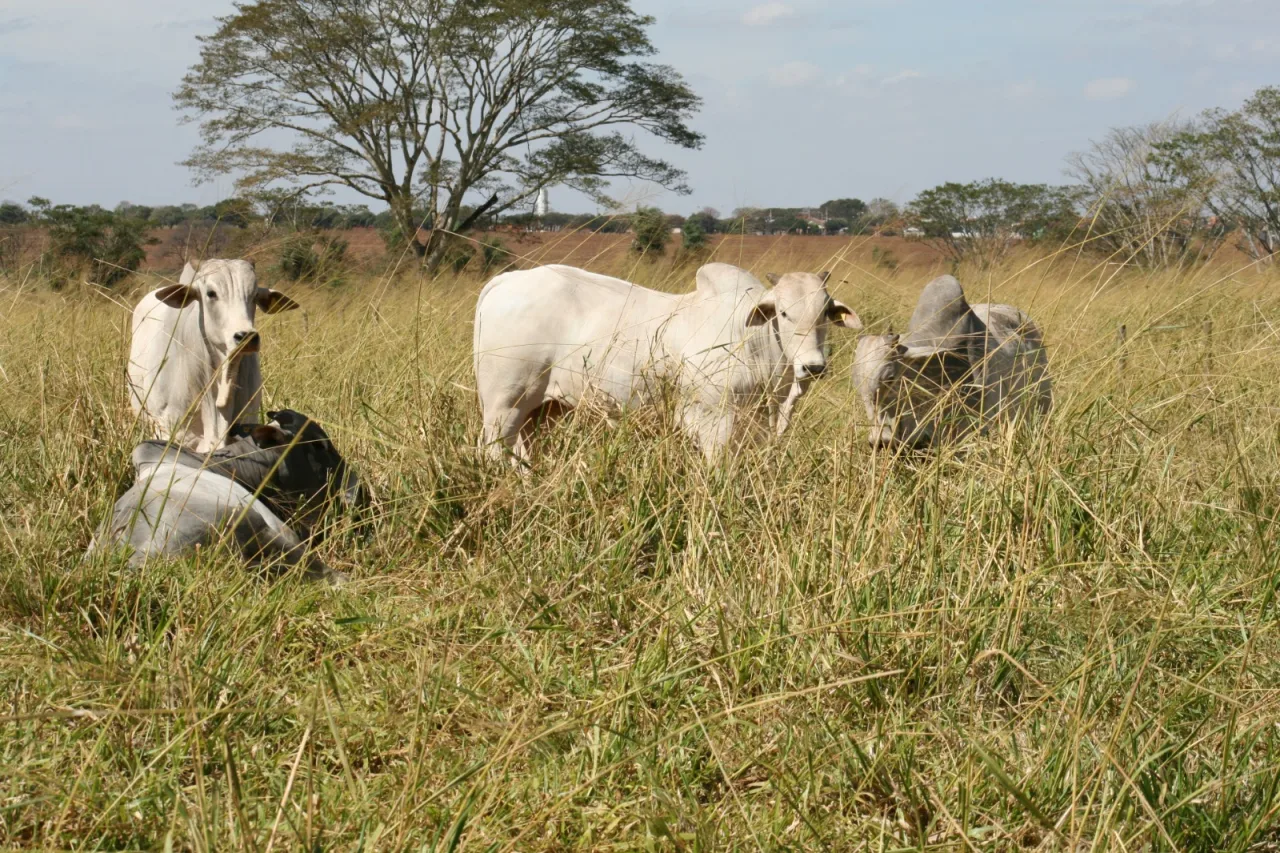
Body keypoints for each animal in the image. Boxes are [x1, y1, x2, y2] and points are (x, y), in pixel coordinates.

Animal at [473, 263, 862, 463]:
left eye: (824, 314)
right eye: (783, 313)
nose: (813, 366)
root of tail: (506, 279)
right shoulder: (714, 421)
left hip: (542, 411)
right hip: (502, 406)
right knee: (496, 451)